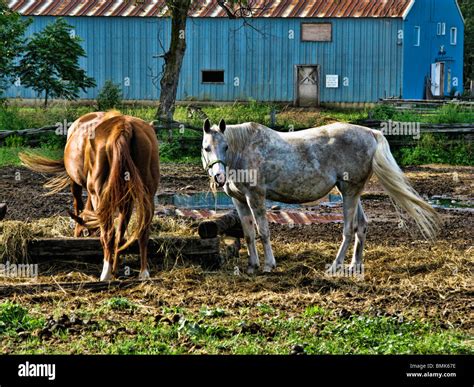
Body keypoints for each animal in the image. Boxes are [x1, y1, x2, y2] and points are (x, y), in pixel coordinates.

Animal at [19, 112, 160, 282]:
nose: (79, 234)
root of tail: (123, 126)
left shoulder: (78, 185)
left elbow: (79, 207)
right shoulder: (126, 201)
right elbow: (121, 234)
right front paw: (117, 266)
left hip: (97, 194)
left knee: (108, 233)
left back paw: (105, 274)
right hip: (147, 194)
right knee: (142, 231)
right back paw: (142, 272)